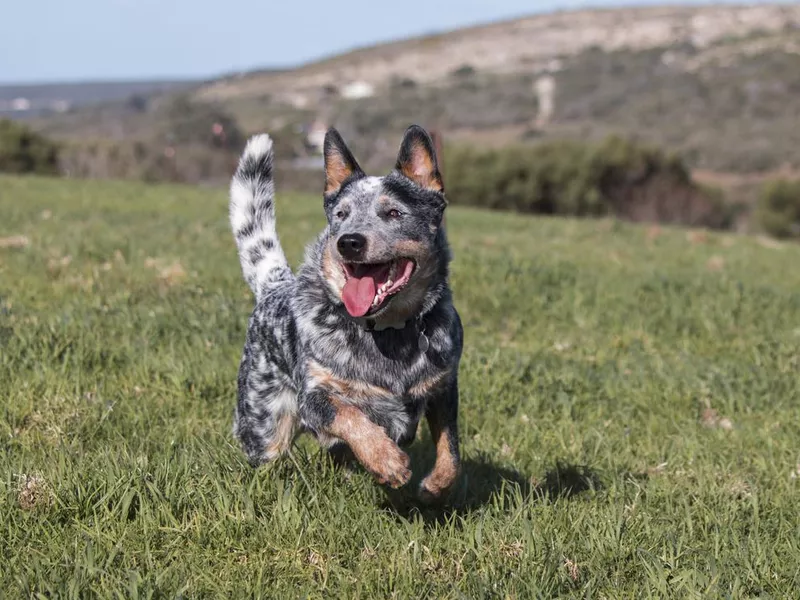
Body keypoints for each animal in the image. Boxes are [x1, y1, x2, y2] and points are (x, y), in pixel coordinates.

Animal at [228, 125, 462, 502]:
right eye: (341, 215)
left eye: (393, 213)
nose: (349, 241)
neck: (390, 333)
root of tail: (275, 285)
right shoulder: (314, 396)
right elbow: (350, 415)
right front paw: (386, 461)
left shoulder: (444, 387)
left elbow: (451, 448)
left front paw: (434, 487)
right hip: (264, 426)